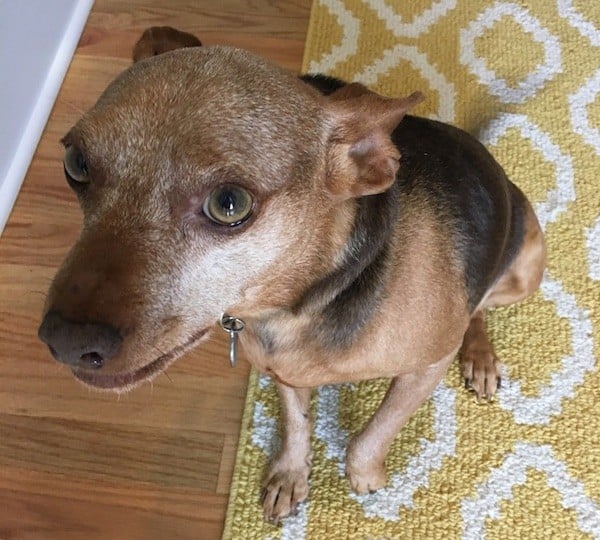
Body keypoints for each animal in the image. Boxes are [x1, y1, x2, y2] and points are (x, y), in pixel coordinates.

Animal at [36, 27, 544, 520]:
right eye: (76, 164)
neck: (291, 308)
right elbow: (296, 421)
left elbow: (374, 432)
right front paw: (290, 473)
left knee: (479, 308)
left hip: (525, 270)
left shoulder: (428, 365)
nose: (64, 342)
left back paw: (480, 355)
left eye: (229, 204)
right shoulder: (280, 372)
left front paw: (365, 474)